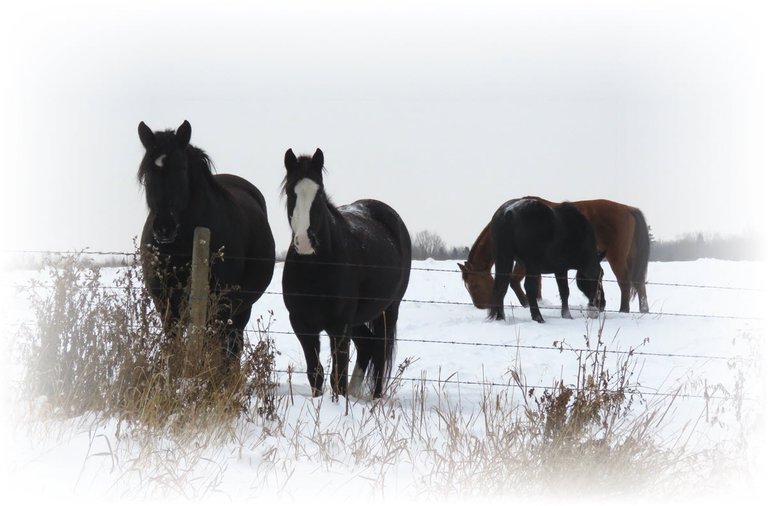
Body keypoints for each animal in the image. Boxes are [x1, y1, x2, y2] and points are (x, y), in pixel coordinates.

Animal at [137, 120, 276, 370]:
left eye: (181, 169)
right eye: (146, 173)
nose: (163, 228)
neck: (182, 246)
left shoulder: (220, 304)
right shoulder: (165, 303)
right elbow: (173, 342)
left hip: (239, 309)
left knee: (232, 344)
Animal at [282, 147, 414, 400]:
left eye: (319, 194)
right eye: (290, 194)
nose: (304, 241)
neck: (314, 270)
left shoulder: (339, 325)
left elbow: (338, 377)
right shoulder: (302, 324)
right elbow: (316, 373)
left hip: (389, 310)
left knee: (380, 351)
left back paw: (375, 398)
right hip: (358, 319)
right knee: (367, 345)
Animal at [460, 197, 652, 312]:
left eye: (474, 284)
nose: (481, 306)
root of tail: (628, 208)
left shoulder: (523, 262)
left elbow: (515, 281)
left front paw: (528, 303)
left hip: (616, 257)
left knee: (624, 282)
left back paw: (624, 310)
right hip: (630, 257)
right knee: (639, 283)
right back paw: (643, 309)